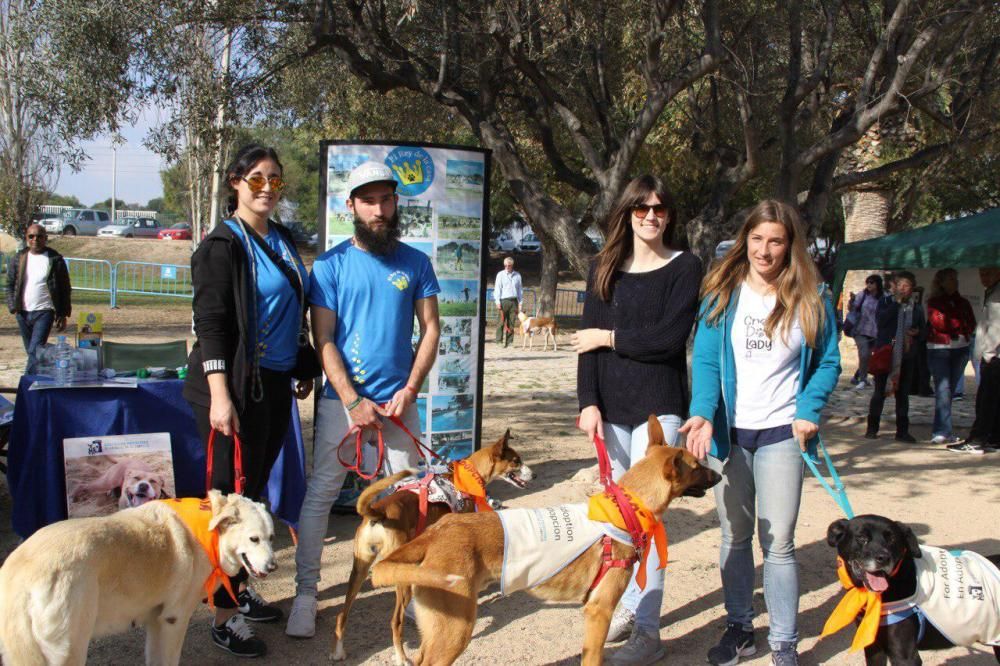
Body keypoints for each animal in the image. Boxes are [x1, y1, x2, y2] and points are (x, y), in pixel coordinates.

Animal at [0, 488, 276, 664]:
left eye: (271, 538)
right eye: (254, 539)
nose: (273, 566)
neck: (210, 533)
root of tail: (19, 573)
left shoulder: (156, 620)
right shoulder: (174, 620)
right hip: (70, 650)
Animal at [332, 430, 532, 664]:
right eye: (516, 461)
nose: (534, 475)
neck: (468, 477)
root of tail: (378, 512)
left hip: (359, 569)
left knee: (342, 614)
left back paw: (338, 651)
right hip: (401, 578)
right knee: (395, 621)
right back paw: (401, 657)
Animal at [372, 416, 724, 664]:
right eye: (697, 466)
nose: (720, 475)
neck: (624, 509)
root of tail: (437, 532)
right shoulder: (599, 612)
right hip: (454, 632)